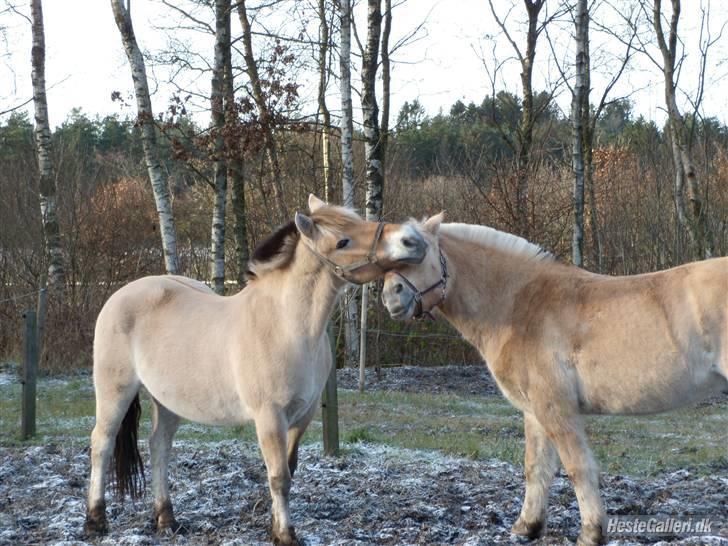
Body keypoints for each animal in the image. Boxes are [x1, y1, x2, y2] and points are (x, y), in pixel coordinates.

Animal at [382, 214, 728, 544]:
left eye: (414, 247)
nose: (390, 298)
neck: (520, 304)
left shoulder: (555, 408)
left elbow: (577, 467)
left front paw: (591, 533)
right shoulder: (534, 410)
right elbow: (536, 468)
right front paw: (527, 527)